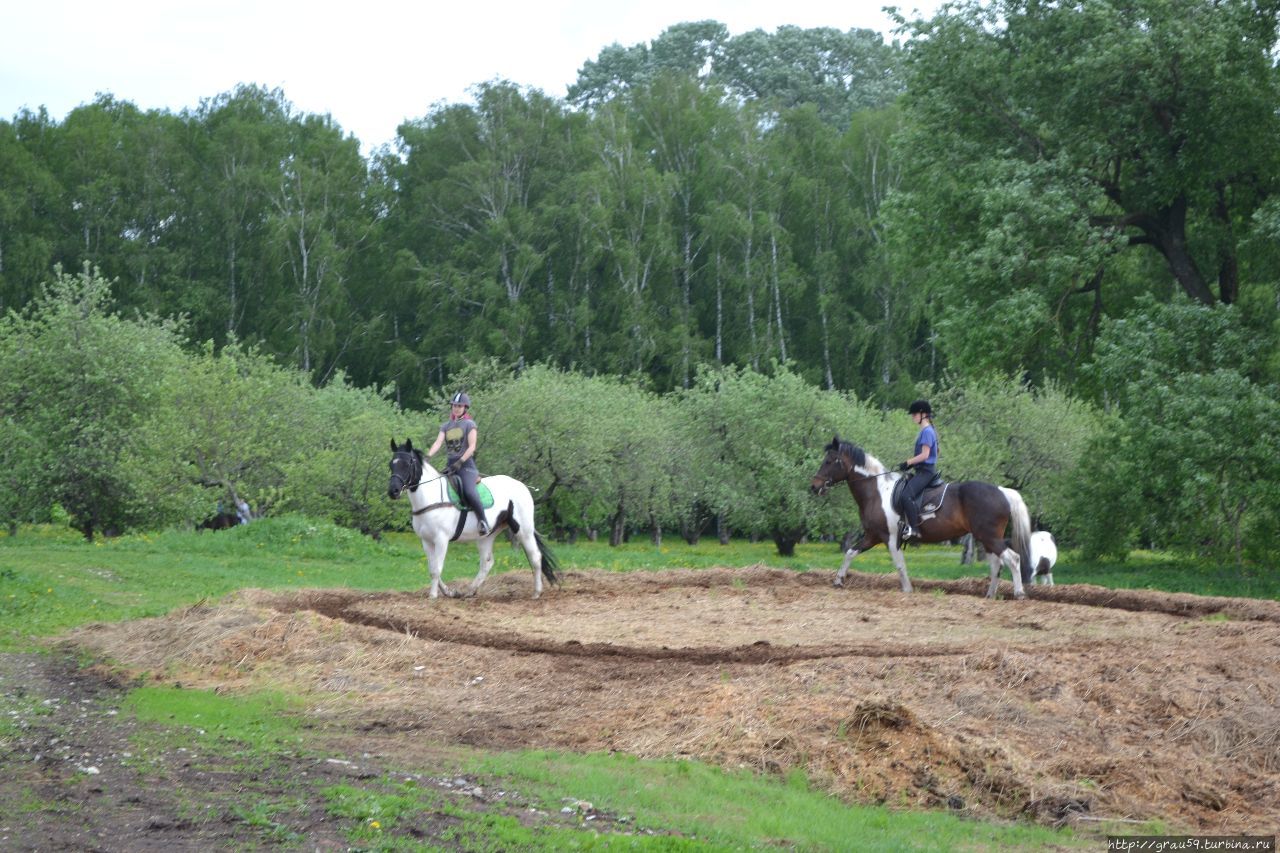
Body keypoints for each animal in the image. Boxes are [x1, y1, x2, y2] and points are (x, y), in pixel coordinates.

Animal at [384, 438, 555, 596]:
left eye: (407, 464)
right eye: (391, 464)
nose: (393, 491)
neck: (430, 498)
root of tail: (522, 486)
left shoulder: (441, 539)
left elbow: (437, 569)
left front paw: (433, 596)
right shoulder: (426, 540)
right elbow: (432, 568)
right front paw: (448, 591)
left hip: (523, 530)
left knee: (535, 557)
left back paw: (537, 592)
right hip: (486, 536)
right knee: (487, 562)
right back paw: (469, 591)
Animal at [814, 438, 1034, 596]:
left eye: (828, 461)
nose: (814, 486)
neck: (878, 491)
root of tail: (1002, 491)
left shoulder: (890, 538)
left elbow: (899, 564)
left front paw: (907, 589)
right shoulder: (872, 536)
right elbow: (850, 552)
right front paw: (838, 580)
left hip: (988, 536)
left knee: (1012, 558)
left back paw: (1019, 593)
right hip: (986, 537)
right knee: (997, 563)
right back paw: (990, 594)